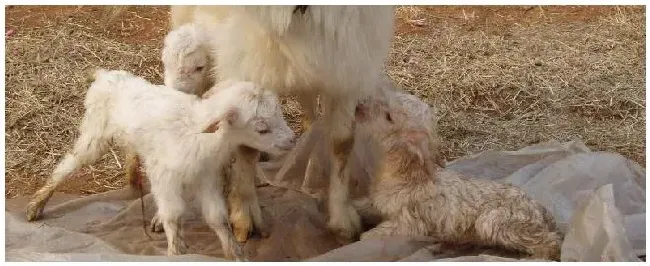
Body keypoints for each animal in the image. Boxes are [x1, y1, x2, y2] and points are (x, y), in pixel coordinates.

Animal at [26, 68, 286, 260]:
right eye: (262, 128)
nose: (291, 140)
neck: (198, 131)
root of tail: (104, 75)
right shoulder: (165, 176)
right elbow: (173, 215)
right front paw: (176, 252)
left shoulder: (205, 177)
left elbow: (217, 217)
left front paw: (236, 254)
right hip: (95, 132)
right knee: (70, 161)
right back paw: (36, 204)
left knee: (130, 148)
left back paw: (132, 174)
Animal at [352, 95, 560, 260]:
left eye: (389, 117)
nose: (358, 107)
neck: (408, 176)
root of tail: (544, 213)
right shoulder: (379, 203)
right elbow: (364, 206)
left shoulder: (410, 222)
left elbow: (373, 235)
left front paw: (362, 239)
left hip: (496, 220)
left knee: (552, 243)